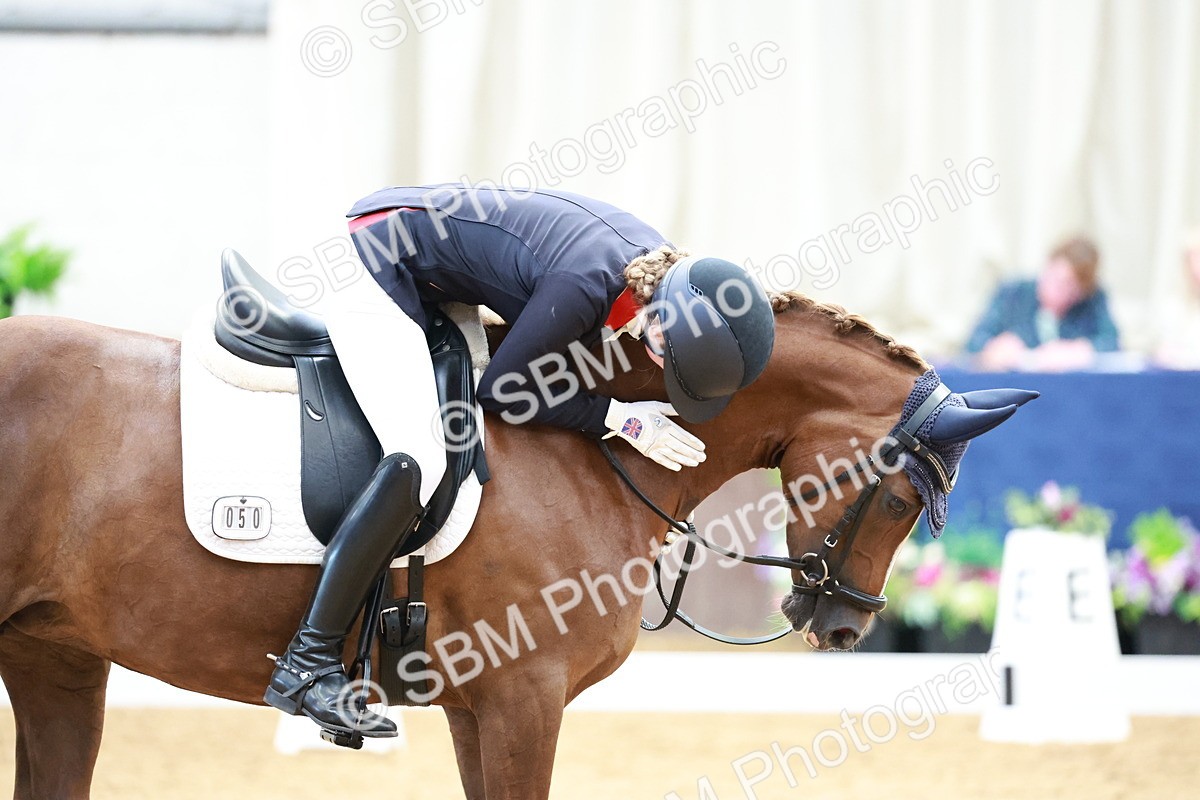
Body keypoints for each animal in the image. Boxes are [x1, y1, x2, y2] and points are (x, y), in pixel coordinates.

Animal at [0, 290, 1023, 799]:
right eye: (903, 498)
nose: (847, 627)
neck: (585, 451)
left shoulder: (477, 705)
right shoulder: (525, 698)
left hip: (54, 655)